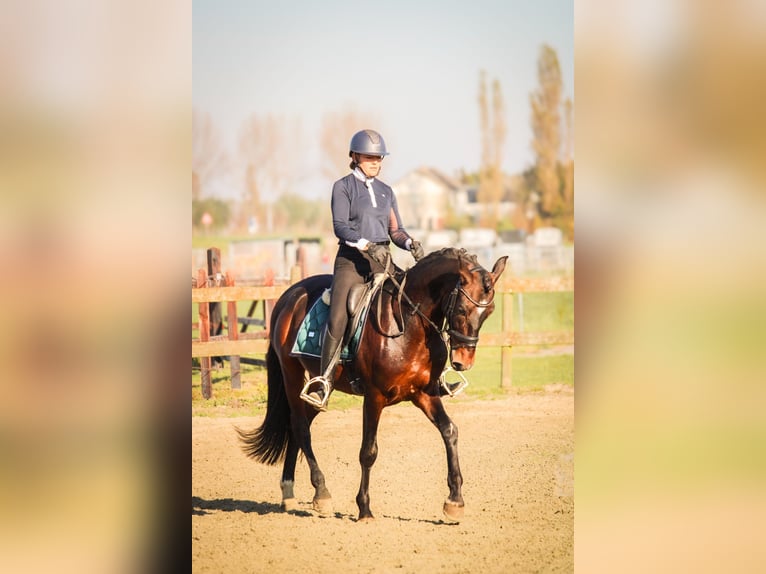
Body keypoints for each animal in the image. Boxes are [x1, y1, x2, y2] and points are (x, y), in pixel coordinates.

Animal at [237, 248, 508, 528]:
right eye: (463, 310)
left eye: (489, 312)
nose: (463, 361)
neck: (408, 325)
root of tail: (289, 295)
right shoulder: (374, 397)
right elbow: (368, 452)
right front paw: (364, 509)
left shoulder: (424, 393)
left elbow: (449, 431)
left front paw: (455, 502)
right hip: (291, 374)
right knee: (301, 428)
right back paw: (321, 494)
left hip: (319, 390)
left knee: (297, 424)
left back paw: (288, 493)